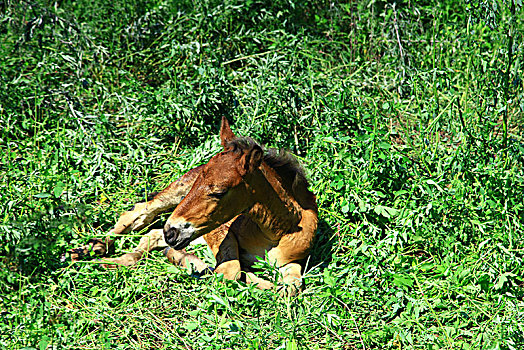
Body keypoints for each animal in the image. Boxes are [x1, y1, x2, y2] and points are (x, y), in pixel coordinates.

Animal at [72, 118, 320, 296]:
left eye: (219, 192)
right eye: (199, 181)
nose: (172, 231)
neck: (274, 231)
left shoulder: (292, 261)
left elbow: (289, 288)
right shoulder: (219, 231)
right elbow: (231, 272)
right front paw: (193, 264)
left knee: (151, 234)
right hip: (175, 195)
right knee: (138, 214)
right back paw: (91, 249)